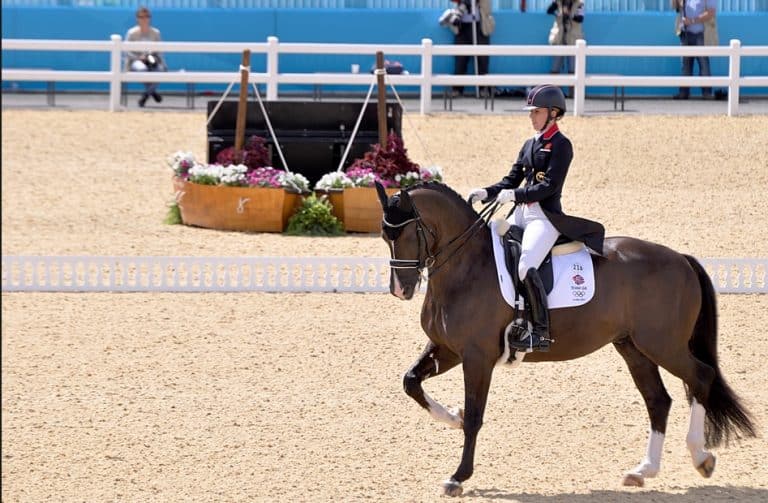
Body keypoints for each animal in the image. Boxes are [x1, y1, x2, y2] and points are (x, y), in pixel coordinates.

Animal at [374, 181, 756, 496]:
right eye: (384, 235)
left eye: (407, 234)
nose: (400, 290)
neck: (465, 267)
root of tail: (681, 259)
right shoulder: (448, 349)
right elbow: (411, 382)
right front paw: (452, 415)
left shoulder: (477, 356)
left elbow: (474, 417)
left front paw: (458, 476)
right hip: (633, 347)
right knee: (658, 400)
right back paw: (643, 470)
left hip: (663, 344)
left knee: (701, 377)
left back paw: (701, 457)